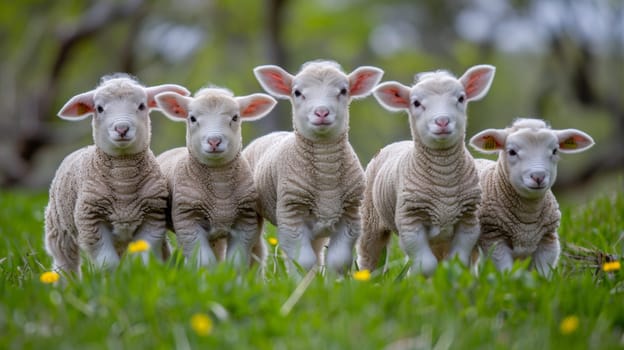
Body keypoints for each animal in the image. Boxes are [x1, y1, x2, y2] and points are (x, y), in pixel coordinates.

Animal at [44, 74, 190, 276]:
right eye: (99, 108)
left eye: (141, 106)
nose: (122, 128)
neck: (123, 182)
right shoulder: (91, 222)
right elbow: (108, 264)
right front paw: (111, 281)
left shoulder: (152, 218)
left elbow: (143, 259)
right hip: (58, 227)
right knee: (65, 262)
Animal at [154, 87, 276, 268]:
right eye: (192, 118)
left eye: (235, 117)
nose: (214, 141)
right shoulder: (187, 221)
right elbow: (204, 262)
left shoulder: (245, 221)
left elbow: (236, 262)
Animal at [244, 59, 386, 274]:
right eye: (297, 92)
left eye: (343, 91)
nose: (321, 112)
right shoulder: (291, 215)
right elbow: (303, 261)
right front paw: (301, 281)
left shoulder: (351, 216)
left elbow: (338, 260)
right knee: (257, 250)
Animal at [356, 63, 498, 276]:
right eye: (416, 103)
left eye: (461, 98)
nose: (442, 121)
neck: (444, 182)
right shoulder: (410, 222)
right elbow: (426, 264)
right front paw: (415, 279)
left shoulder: (469, 221)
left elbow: (456, 261)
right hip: (370, 219)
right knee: (370, 254)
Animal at [468, 117, 596, 276]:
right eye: (512, 152)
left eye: (555, 151)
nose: (538, 176)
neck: (527, 220)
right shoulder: (493, 239)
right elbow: (507, 273)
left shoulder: (548, 241)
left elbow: (542, 274)